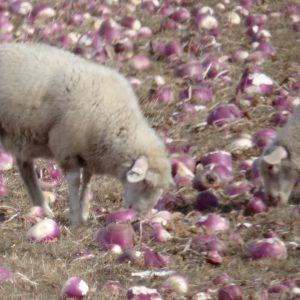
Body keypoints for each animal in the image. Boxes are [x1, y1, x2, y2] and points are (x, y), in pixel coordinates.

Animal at [0, 42, 173, 225]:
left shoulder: (89, 154)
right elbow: (75, 181)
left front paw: (83, 211)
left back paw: (43, 209)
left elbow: (88, 181)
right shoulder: (66, 147)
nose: (142, 214)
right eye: (145, 182)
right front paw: (75, 217)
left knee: (26, 170)